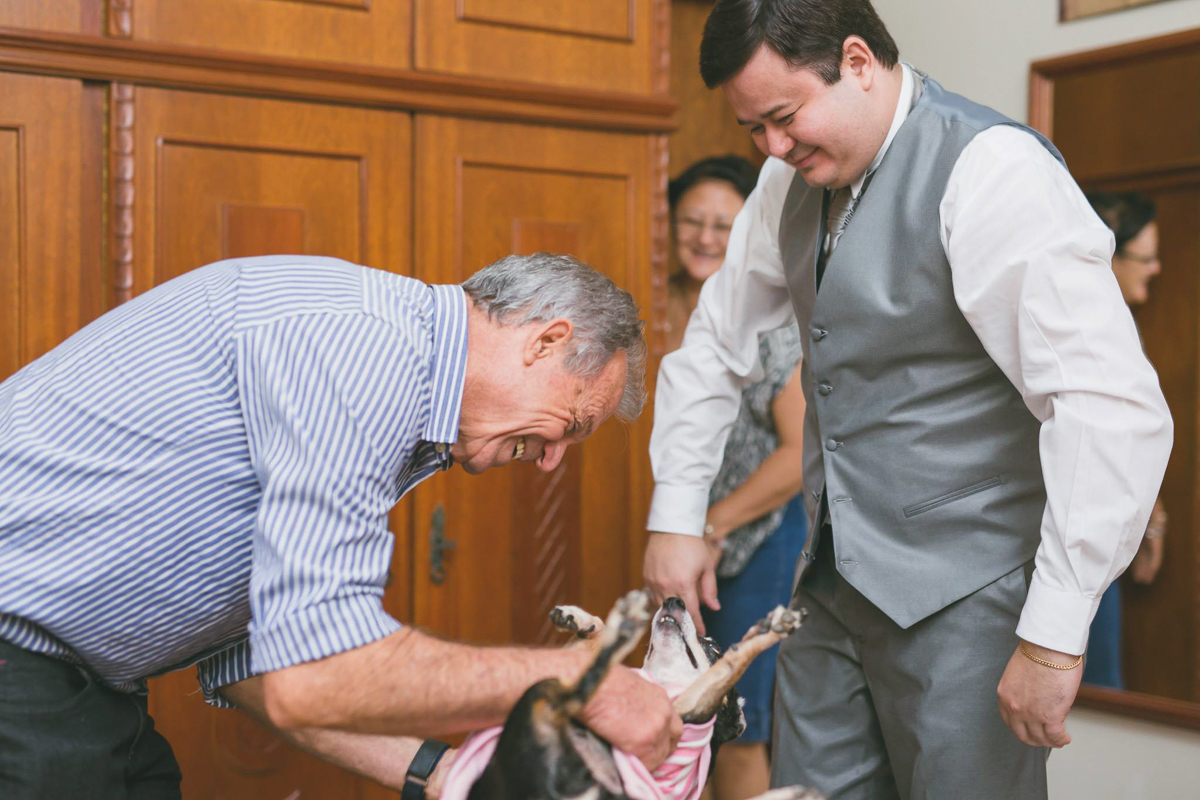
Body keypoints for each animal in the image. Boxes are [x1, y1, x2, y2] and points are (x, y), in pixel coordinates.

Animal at [435, 591, 825, 800]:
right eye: (650, 650)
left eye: (711, 645)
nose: (674, 598)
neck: (661, 683)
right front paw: (581, 620)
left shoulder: (691, 706)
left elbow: (730, 662)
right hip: (542, 696)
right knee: (574, 692)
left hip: (539, 697)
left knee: (571, 695)